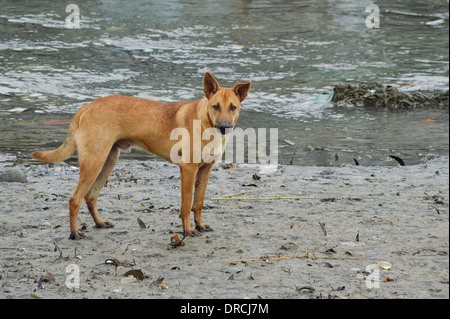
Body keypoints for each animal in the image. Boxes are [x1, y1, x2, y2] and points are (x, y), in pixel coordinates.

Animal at [31, 72, 250, 240]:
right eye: (216, 106)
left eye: (233, 107)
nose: (224, 127)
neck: (206, 123)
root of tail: (86, 107)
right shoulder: (188, 169)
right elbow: (186, 205)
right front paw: (188, 230)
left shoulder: (205, 170)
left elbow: (198, 203)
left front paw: (200, 226)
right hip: (94, 162)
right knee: (74, 199)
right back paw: (75, 233)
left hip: (108, 162)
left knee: (90, 196)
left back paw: (100, 223)